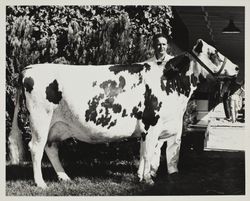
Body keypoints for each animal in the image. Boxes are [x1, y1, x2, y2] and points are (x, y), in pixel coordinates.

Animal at [8, 39, 239, 188]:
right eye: (214, 53)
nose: (237, 67)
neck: (170, 82)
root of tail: (28, 69)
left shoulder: (149, 129)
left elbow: (145, 153)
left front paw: (142, 176)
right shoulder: (152, 124)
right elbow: (148, 153)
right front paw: (148, 180)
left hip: (56, 125)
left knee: (51, 147)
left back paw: (64, 177)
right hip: (40, 120)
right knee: (36, 148)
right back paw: (41, 183)